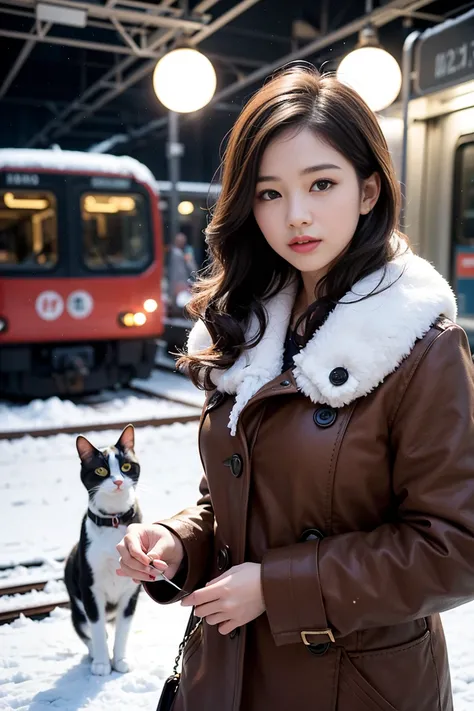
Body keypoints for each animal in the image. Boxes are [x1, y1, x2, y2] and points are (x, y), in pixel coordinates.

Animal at [65, 426, 143, 676]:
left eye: (126, 467)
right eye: (101, 470)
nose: (118, 481)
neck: (114, 521)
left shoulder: (131, 591)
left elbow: (123, 631)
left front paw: (120, 660)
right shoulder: (91, 588)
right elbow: (98, 630)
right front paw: (101, 663)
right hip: (77, 610)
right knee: (86, 631)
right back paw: (94, 655)